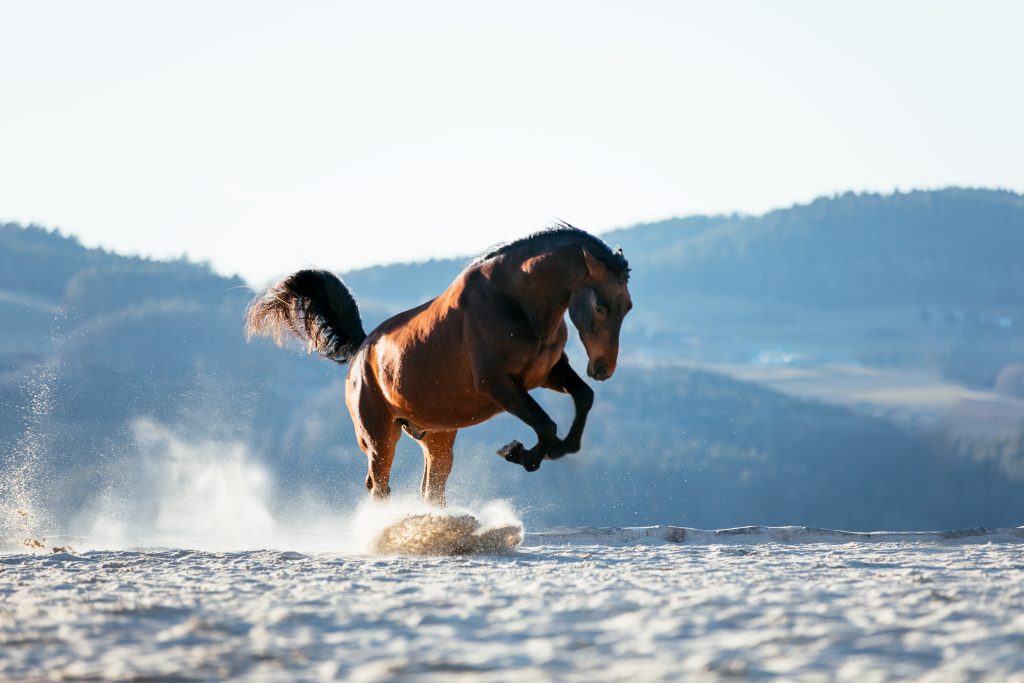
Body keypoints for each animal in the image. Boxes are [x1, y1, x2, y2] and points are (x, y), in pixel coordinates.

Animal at [244, 224, 632, 506]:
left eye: (627, 306)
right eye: (601, 306)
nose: (603, 368)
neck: (514, 303)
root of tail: (360, 352)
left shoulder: (547, 373)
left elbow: (583, 398)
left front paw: (555, 450)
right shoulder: (499, 385)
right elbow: (547, 425)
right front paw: (519, 453)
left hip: (437, 437)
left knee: (430, 488)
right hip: (379, 436)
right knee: (379, 486)